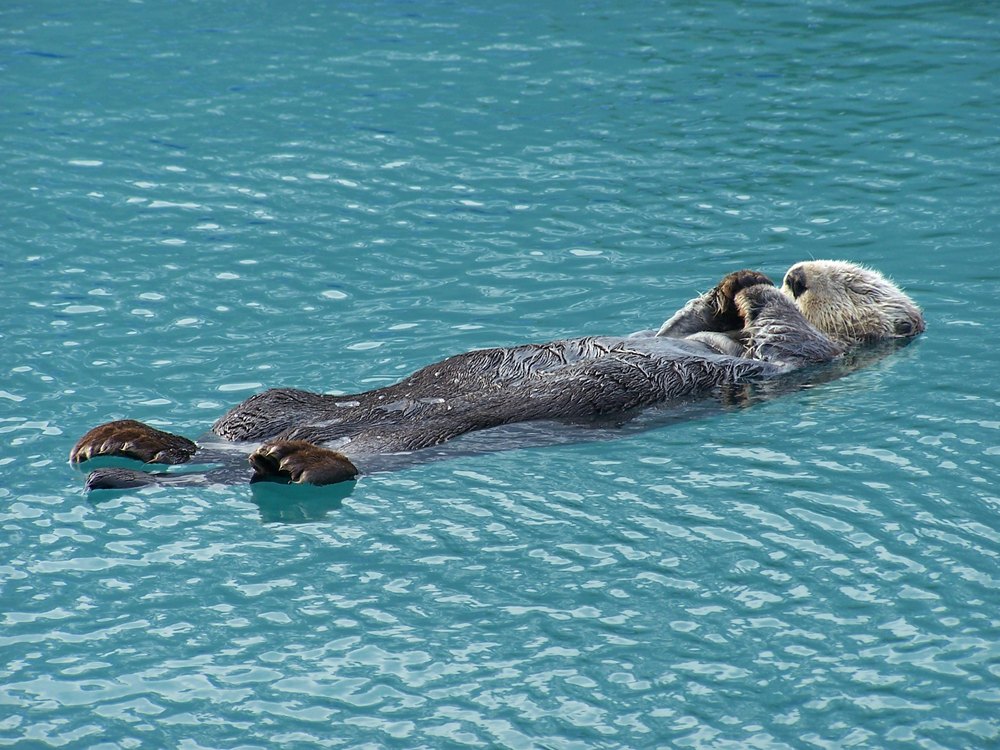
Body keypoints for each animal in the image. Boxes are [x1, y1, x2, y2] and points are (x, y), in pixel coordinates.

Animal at [70, 261, 924, 491]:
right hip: (274, 401)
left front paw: (757, 290)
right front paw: (729, 283)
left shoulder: (801, 362)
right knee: (220, 436)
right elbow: (673, 326)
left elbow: (788, 338)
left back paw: (299, 463)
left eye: (852, 280)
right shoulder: (685, 334)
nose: (798, 270)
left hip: (411, 439)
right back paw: (127, 438)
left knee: (336, 461)